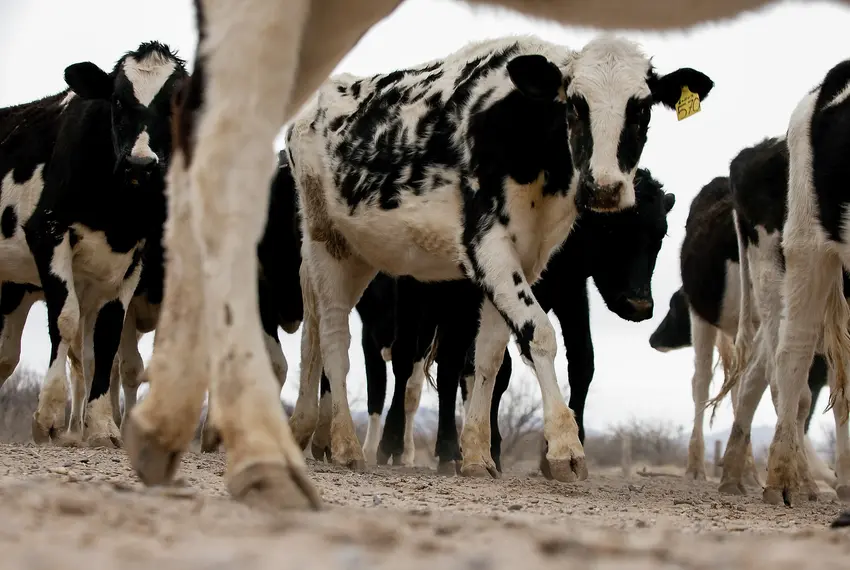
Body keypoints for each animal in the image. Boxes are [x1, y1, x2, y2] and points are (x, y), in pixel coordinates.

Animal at [122, 0, 810, 512]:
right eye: (574, 103)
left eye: (642, 107)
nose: (606, 189)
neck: (525, 135)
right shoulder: (487, 244)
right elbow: (538, 337)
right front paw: (565, 449)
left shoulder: (524, 259)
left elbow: (490, 356)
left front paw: (478, 454)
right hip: (324, 243)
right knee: (335, 341)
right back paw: (339, 442)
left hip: (359, 254)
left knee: (327, 337)